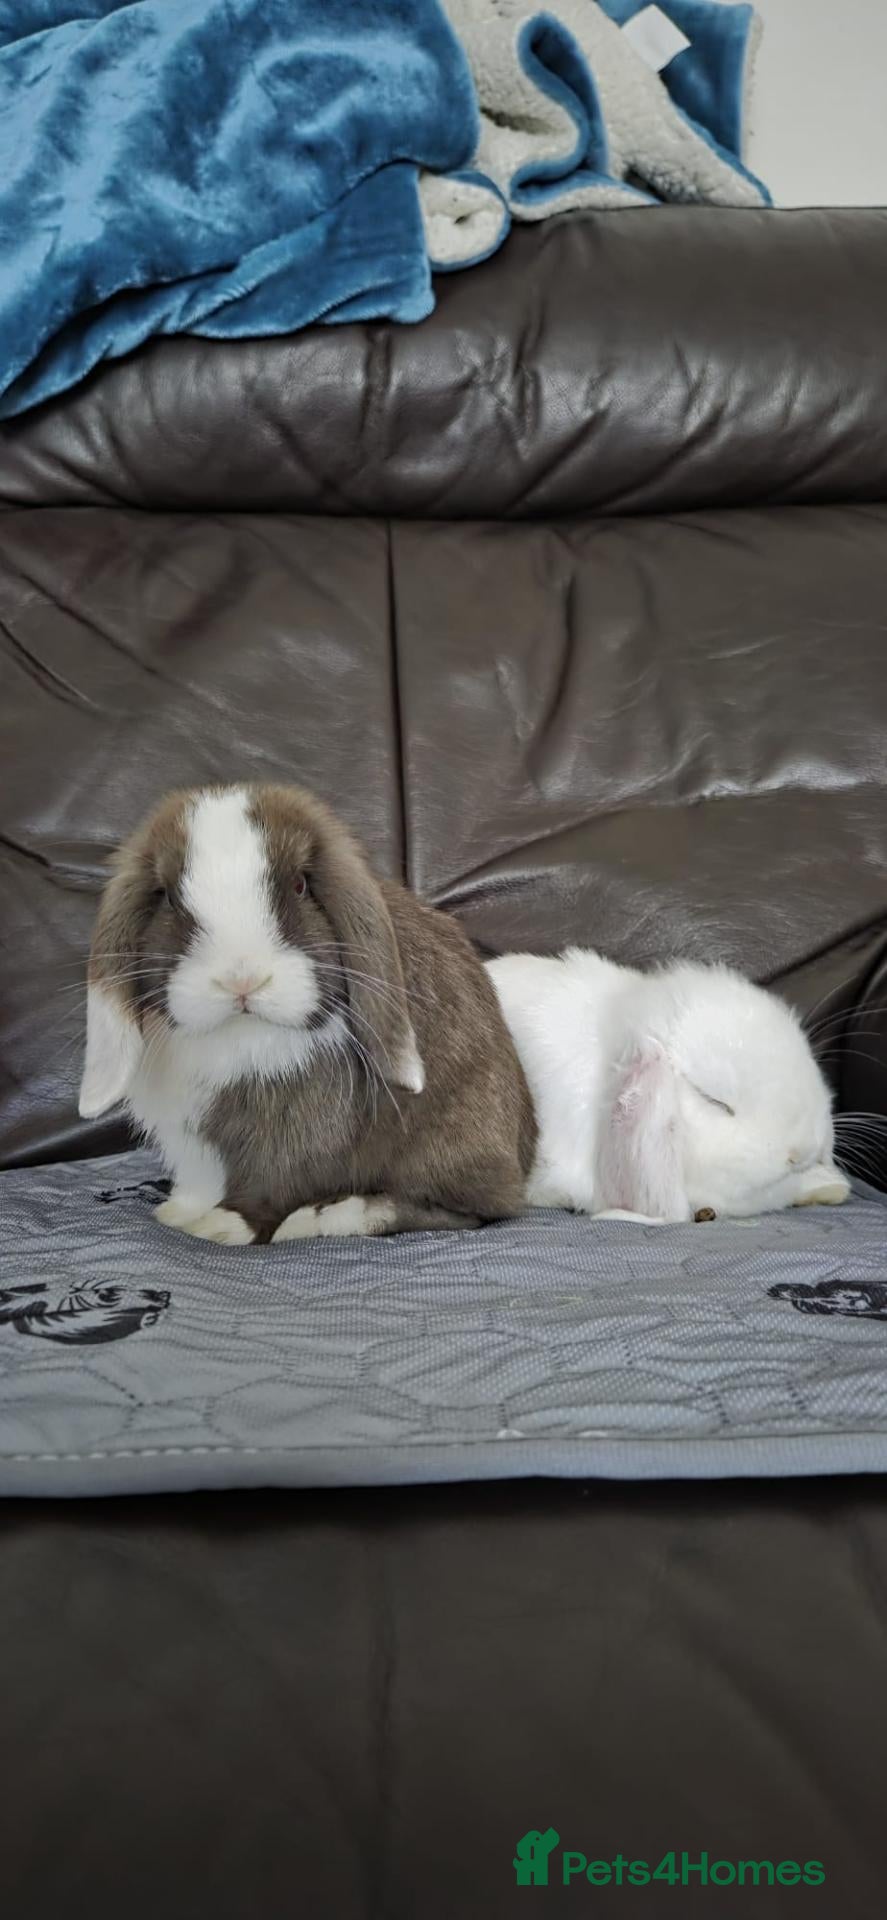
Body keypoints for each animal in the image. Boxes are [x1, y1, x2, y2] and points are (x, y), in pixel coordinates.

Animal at [79, 784, 536, 1244]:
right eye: (170, 897)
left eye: (300, 885)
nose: (241, 979)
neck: (240, 1038)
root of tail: (520, 1161)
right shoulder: (192, 1146)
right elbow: (199, 1184)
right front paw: (179, 1214)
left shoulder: (297, 1134)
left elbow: (271, 1182)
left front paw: (222, 1227)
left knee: (458, 1211)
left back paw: (322, 1217)